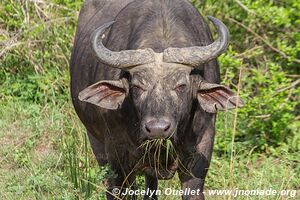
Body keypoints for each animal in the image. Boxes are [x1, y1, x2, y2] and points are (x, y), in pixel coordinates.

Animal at [69, 0, 244, 200]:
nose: (157, 129)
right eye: (137, 86)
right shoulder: (116, 156)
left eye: (181, 85)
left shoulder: (201, 148)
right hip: (96, 142)